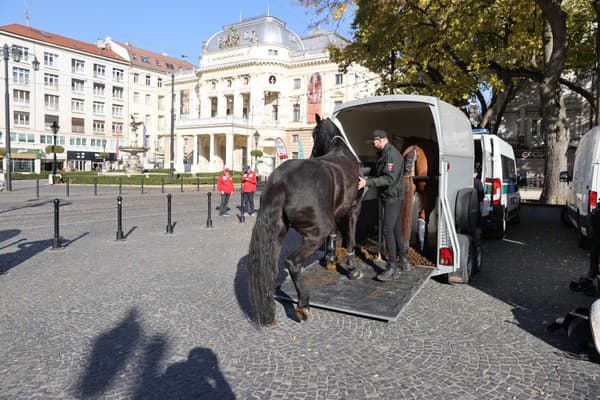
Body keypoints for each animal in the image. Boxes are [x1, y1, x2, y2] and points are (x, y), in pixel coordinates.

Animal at [247, 115, 360, 324]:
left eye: (314, 135)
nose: (313, 153)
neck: (340, 150)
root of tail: (279, 181)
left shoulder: (334, 213)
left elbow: (334, 235)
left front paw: (331, 258)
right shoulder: (354, 208)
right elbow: (351, 238)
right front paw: (352, 267)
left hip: (278, 232)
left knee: (271, 268)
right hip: (315, 233)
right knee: (293, 262)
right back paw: (303, 305)